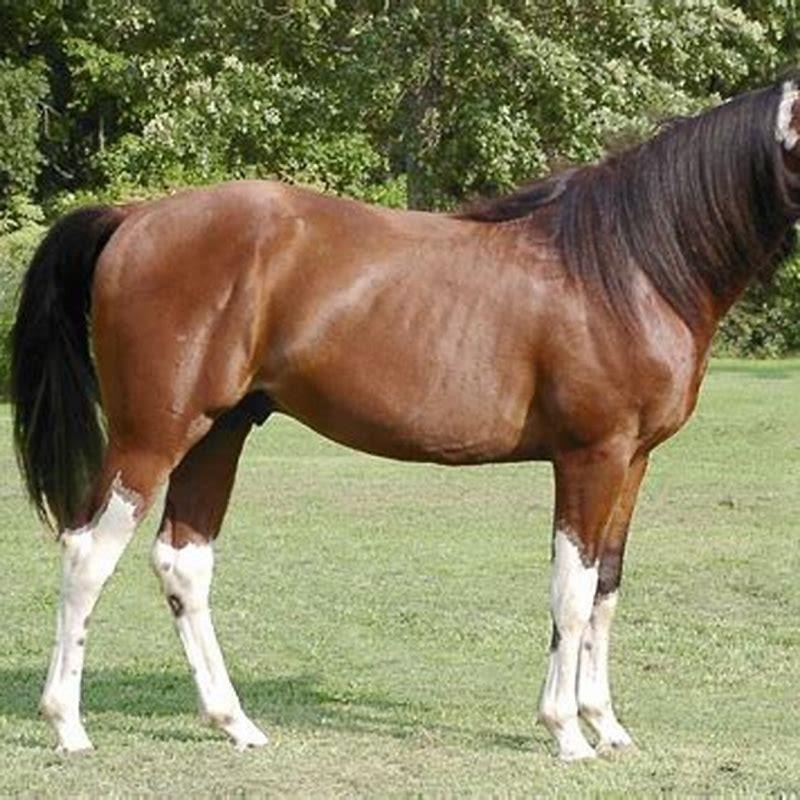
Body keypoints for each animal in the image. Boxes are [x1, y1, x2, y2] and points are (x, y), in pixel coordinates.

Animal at [10, 76, 800, 761]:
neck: (629, 266)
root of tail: (134, 217)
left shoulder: (634, 459)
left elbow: (605, 586)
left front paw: (606, 726)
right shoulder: (591, 455)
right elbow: (571, 594)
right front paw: (566, 733)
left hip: (220, 433)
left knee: (183, 561)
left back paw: (235, 723)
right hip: (152, 437)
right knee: (87, 552)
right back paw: (68, 726)